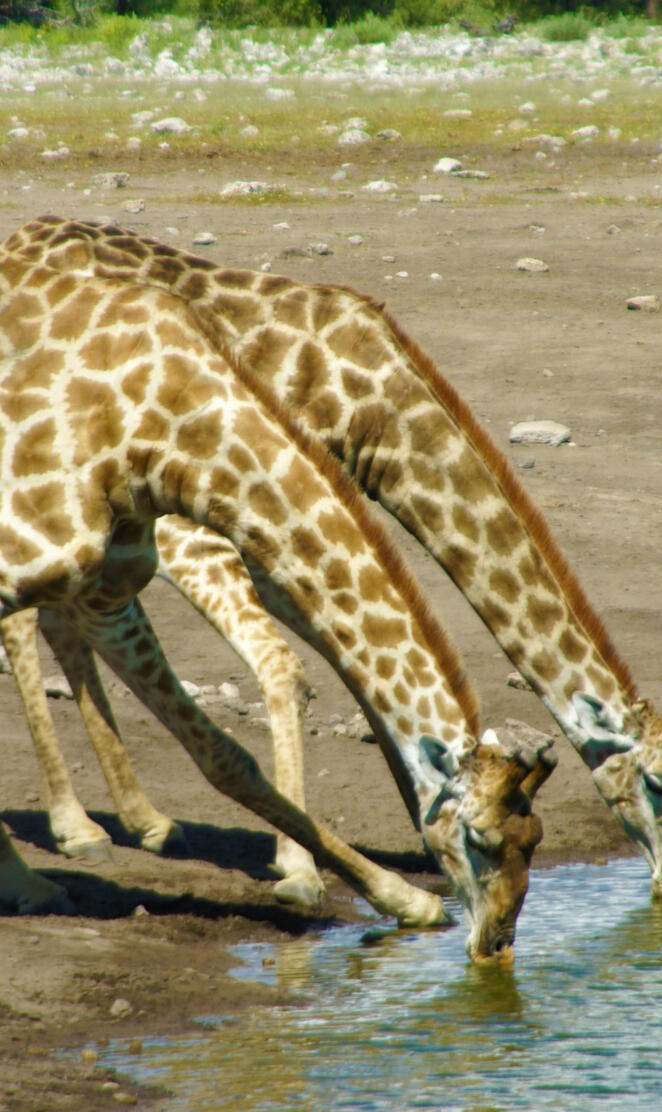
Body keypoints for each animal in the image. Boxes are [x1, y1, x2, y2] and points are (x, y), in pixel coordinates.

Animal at [6, 216, 659, 895]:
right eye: (657, 783)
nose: (660, 877)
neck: (375, 409)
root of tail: (24, 235)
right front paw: (303, 865)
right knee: (30, 620)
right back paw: (76, 828)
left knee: (58, 617)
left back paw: (140, 821)